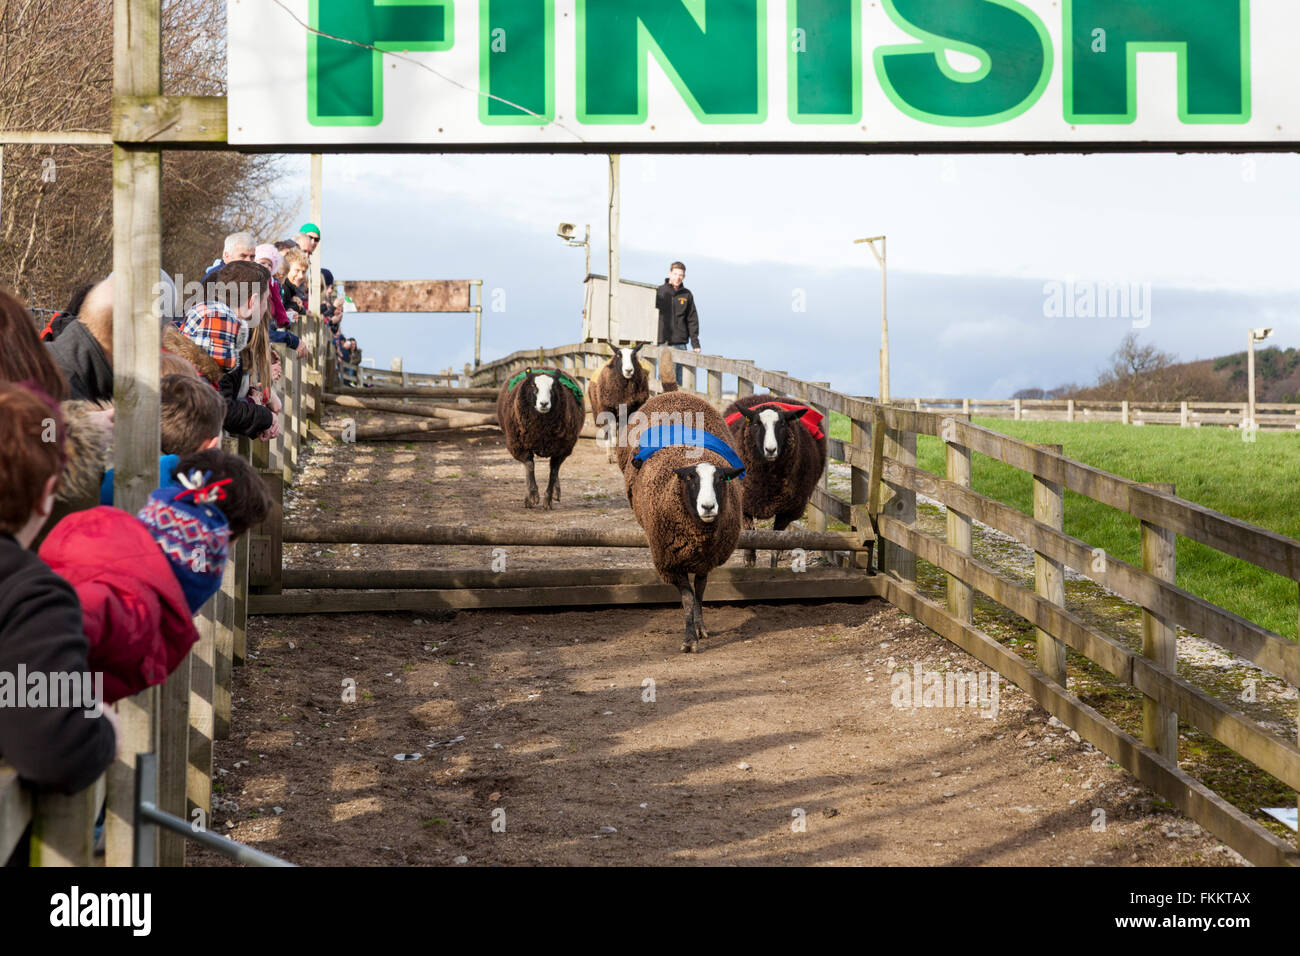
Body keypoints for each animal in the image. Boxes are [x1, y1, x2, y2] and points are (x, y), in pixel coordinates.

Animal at [493, 366, 582, 509]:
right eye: (533, 386)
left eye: (553, 387)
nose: (544, 403)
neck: (542, 431)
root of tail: (544, 367)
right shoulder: (519, 446)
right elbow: (530, 466)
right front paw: (533, 495)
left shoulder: (561, 449)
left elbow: (553, 472)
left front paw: (548, 500)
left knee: (555, 470)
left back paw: (556, 492)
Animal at [618, 385, 743, 655]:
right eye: (690, 479)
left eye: (721, 479)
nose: (708, 507)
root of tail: (675, 393)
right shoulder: (670, 562)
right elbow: (687, 598)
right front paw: (689, 640)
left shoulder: (707, 558)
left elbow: (700, 591)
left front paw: (700, 627)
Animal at [722, 390, 821, 564]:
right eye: (756, 424)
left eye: (782, 424)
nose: (770, 450)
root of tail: (768, 396)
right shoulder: (744, 503)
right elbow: (750, 533)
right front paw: (749, 560)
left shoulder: (788, 509)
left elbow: (777, 538)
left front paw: (775, 559)